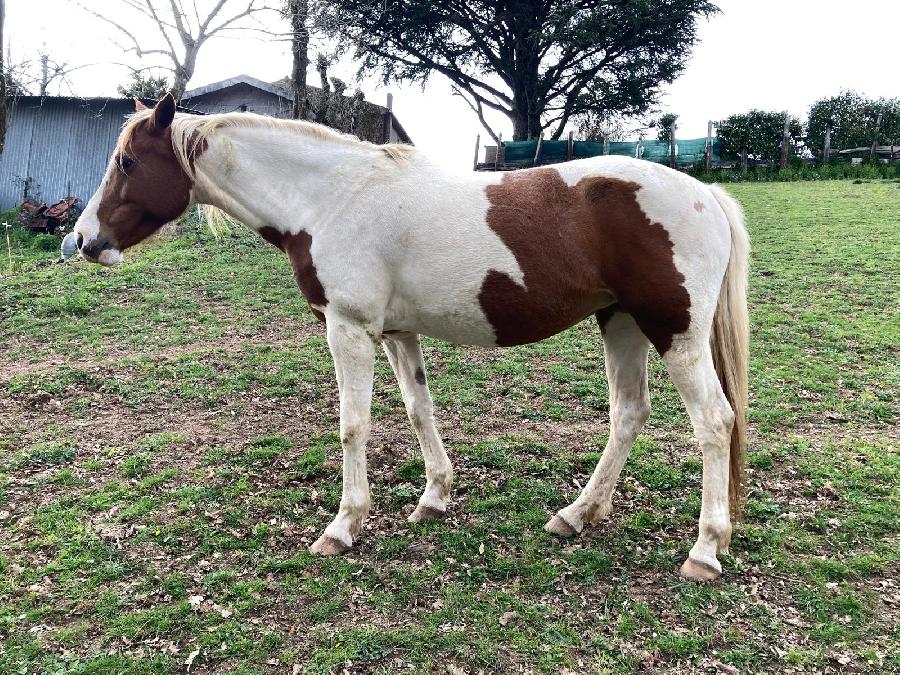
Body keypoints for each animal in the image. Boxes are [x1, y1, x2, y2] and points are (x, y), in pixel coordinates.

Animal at [74, 94, 749, 581]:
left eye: (127, 162)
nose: (83, 241)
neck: (329, 199)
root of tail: (704, 193)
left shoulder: (348, 329)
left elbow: (354, 425)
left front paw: (343, 526)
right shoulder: (397, 334)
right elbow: (418, 409)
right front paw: (433, 498)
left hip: (675, 333)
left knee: (714, 423)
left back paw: (704, 550)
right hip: (622, 323)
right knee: (628, 413)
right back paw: (577, 515)